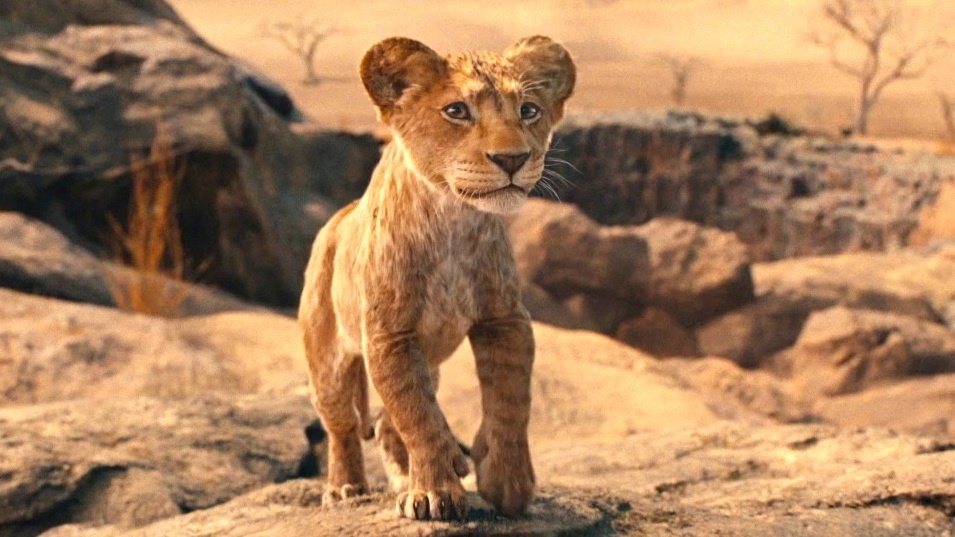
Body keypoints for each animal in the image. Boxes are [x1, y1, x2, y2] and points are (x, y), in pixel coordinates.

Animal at [298, 35, 575, 521]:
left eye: (529, 110)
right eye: (457, 111)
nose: (512, 159)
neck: (452, 220)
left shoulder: (505, 320)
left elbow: (510, 402)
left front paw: (507, 485)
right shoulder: (388, 335)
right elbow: (418, 416)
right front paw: (434, 494)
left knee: (389, 425)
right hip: (328, 359)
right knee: (344, 424)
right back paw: (345, 487)